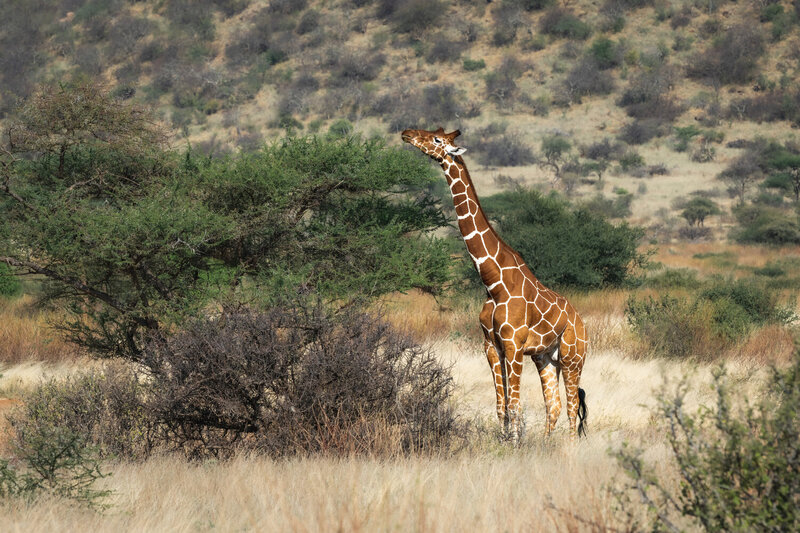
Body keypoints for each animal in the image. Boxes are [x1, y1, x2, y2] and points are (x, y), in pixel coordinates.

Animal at [401, 127, 588, 444]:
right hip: (545, 358)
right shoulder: (491, 345)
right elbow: (502, 406)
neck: (492, 283)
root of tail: (583, 323)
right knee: (553, 405)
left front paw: (514, 445)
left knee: (572, 408)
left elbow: (515, 405)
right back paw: (547, 445)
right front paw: (505, 442)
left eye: (437, 140)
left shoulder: (513, 344)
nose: (406, 133)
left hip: (572, 358)